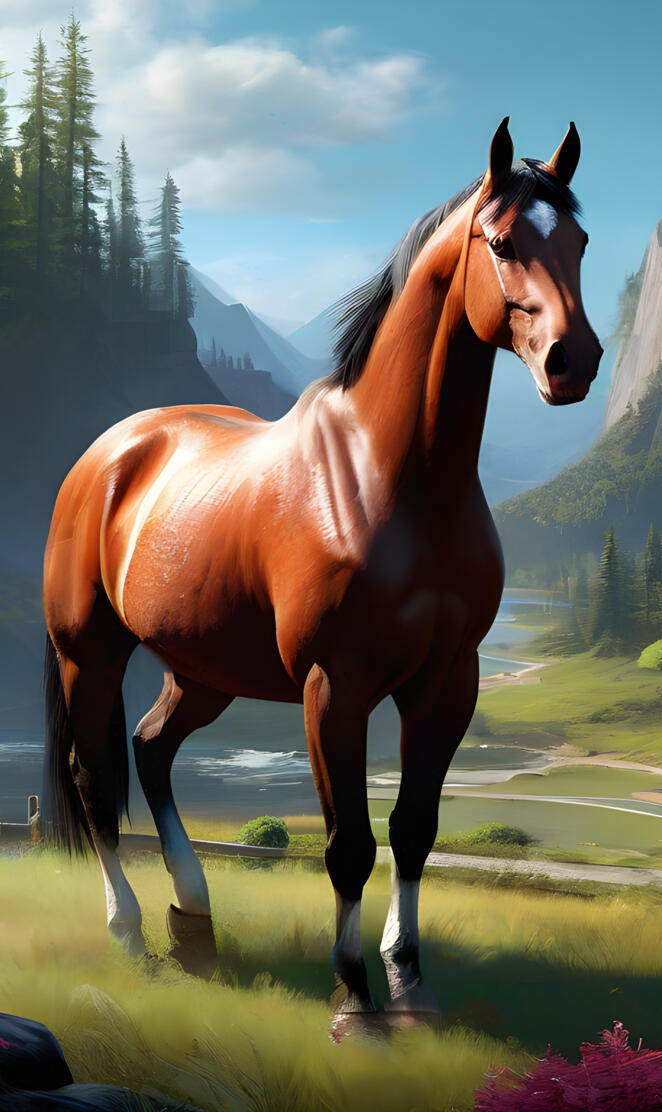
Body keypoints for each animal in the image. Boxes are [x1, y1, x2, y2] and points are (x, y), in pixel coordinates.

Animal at [42, 118, 602, 1014]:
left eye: (579, 243)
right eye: (503, 242)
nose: (570, 362)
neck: (391, 480)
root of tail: (112, 448)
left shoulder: (449, 681)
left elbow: (414, 830)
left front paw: (410, 981)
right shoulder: (334, 688)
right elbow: (348, 845)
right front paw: (354, 998)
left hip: (204, 670)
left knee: (153, 749)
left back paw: (194, 921)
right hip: (88, 655)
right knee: (95, 779)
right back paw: (129, 932)